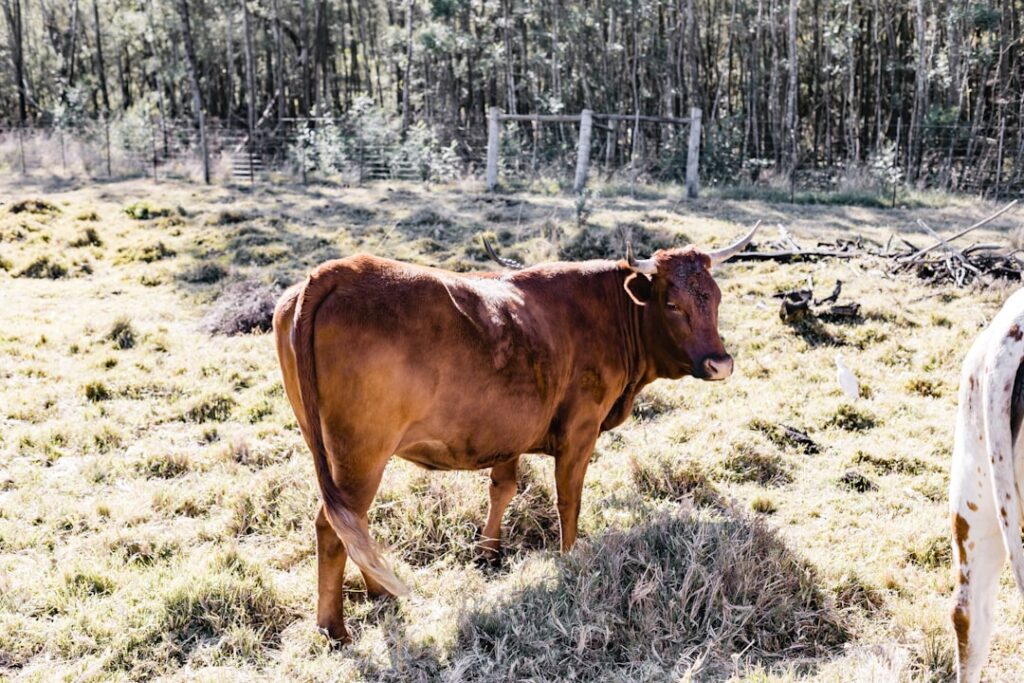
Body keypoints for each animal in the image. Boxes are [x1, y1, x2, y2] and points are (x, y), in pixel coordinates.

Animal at [272, 223, 759, 643]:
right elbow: (569, 500)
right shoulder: (580, 432)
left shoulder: (508, 432)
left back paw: (379, 591)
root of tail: (335, 272)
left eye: (716, 298)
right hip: (360, 456)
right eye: (673, 304)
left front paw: (489, 552)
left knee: (352, 524)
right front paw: (569, 559)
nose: (720, 363)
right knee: (332, 525)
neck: (609, 313)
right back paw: (335, 629)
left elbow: (502, 488)